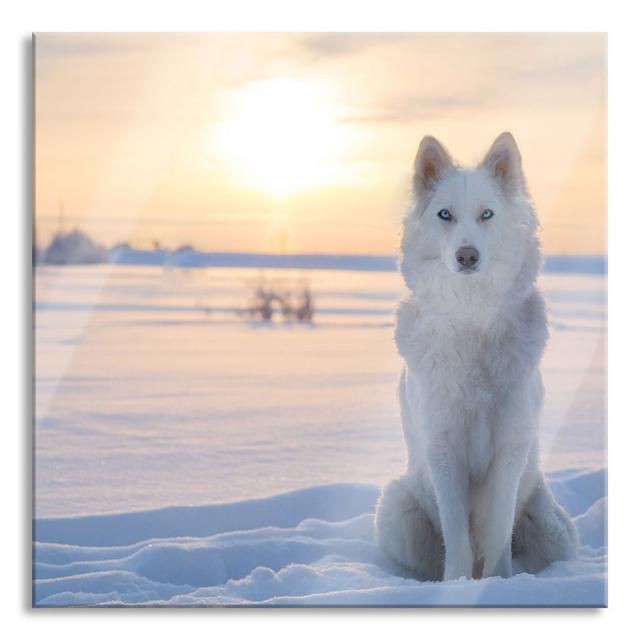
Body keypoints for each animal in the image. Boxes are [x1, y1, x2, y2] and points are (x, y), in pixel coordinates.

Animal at [376, 132, 580, 584]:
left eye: (487, 214)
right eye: (445, 215)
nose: (467, 256)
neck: (473, 318)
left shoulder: (510, 449)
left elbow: (498, 531)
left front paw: (500, 585)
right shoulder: (443, 450)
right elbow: (457, 537)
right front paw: (456, 586)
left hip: (554, 529)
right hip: (397, 511)